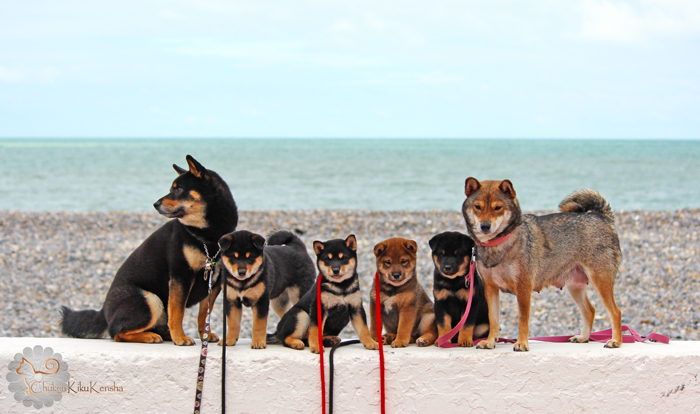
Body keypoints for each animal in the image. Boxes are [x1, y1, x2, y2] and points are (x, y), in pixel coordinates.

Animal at [59, 157, 238, 344]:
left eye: (179, 189)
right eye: (172, 188)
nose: (155, 204)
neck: (206, 235)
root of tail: (103, 312)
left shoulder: (214, 281)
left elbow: (204, 314)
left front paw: (205, 336)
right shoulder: (180, 275)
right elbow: (177, 312)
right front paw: (180, 338)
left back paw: (164, 334)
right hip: (151, 300)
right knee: (117, 333)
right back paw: (150, 336)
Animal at [462, 179, 620, 352]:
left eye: (498, 208)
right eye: (478, 207)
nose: (485, 226)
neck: (499, 244)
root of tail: (601, 216)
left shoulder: (523, 288)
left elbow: (523, 320)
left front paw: (521, 343)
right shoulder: (491, 289)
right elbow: (493, 320)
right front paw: (490, 342)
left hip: (600, 282)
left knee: (615, 312)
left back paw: (616, 341)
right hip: (575, 286)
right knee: (590, 311)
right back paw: (583, 337)